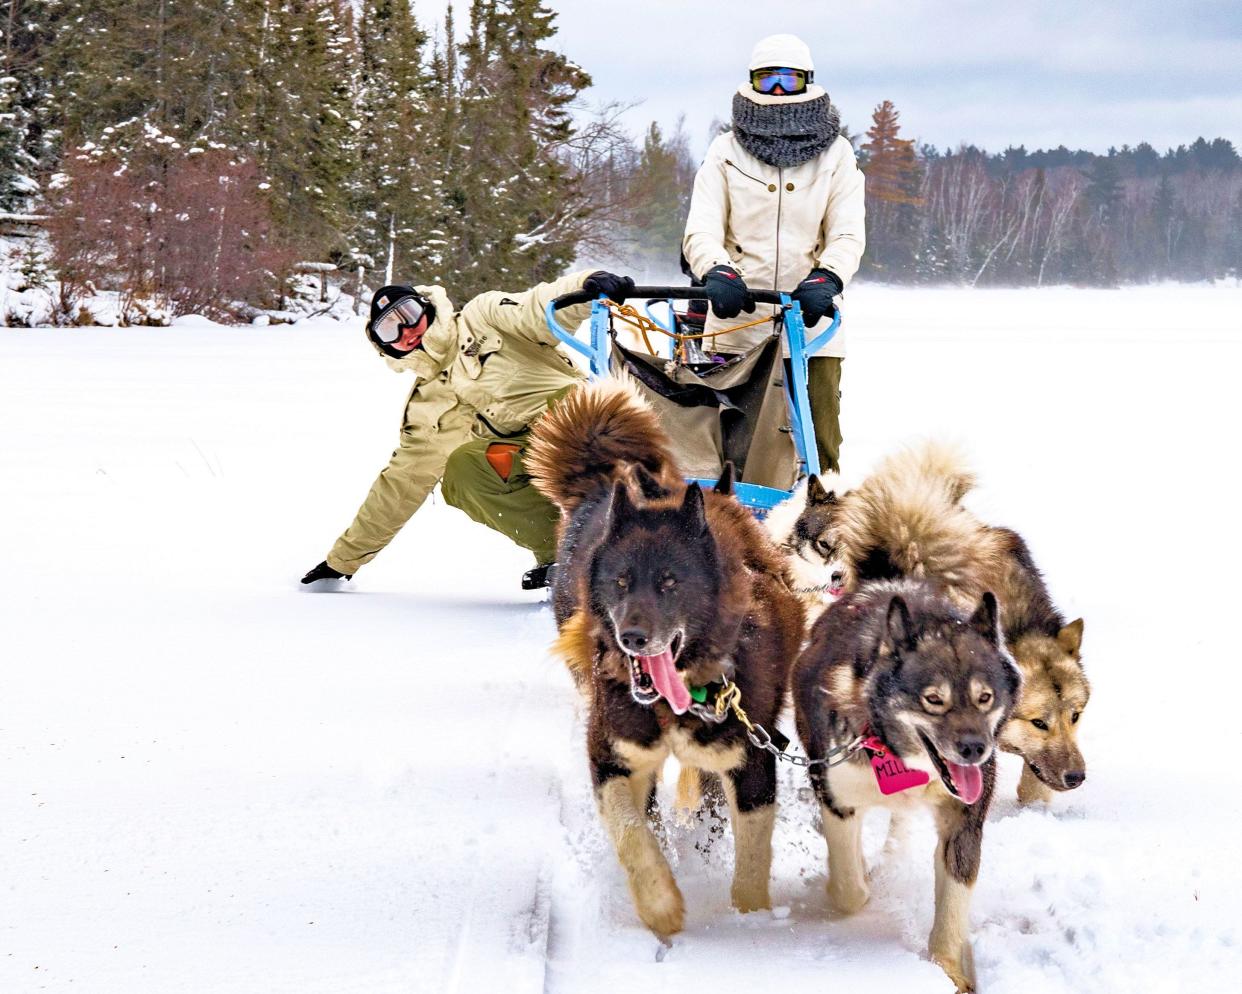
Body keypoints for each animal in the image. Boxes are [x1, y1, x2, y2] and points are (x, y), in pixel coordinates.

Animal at [526, 377, 804, 934]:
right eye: (620, 581)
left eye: (670, 582)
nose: (632, 636)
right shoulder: (613, 753)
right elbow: (633, 832)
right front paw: (662, 906)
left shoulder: (750, 762)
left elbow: (750, 860)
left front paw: (752, 925)